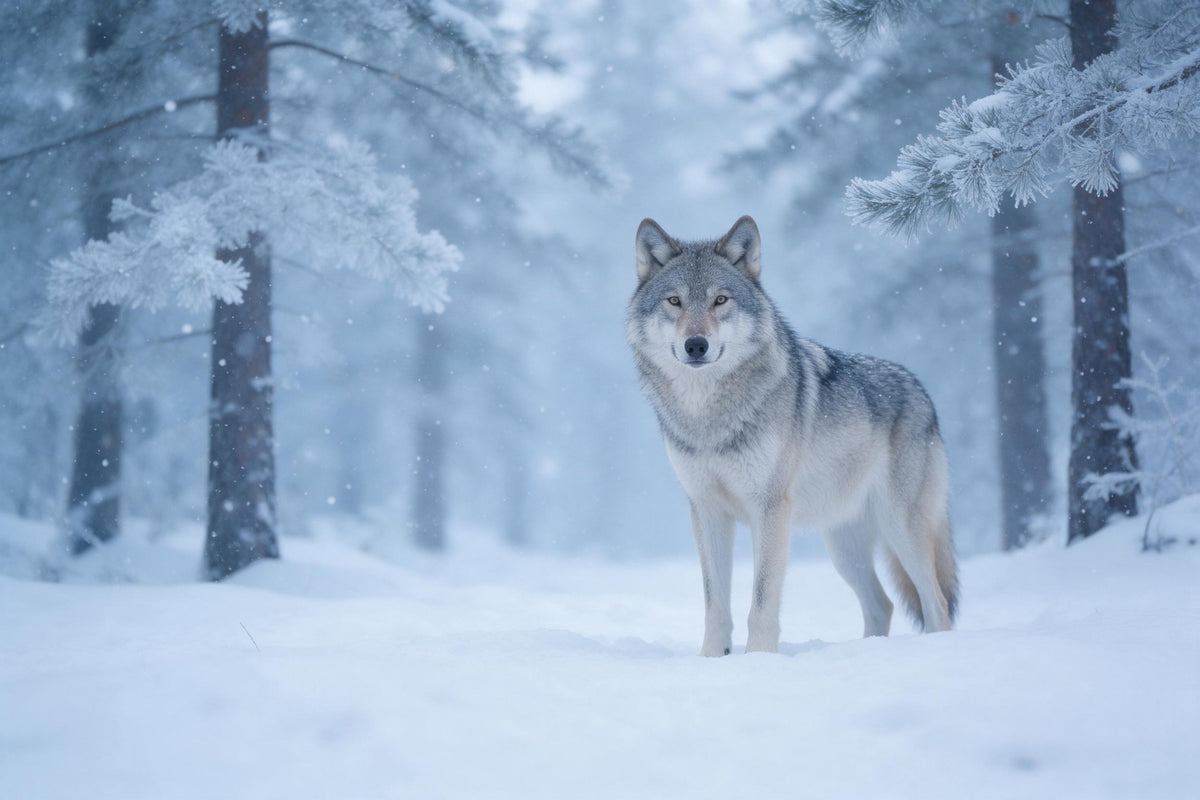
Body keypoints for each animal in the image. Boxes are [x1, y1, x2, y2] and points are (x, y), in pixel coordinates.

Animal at [627, 215, 958, 656]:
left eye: (720, 300)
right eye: (675, 301)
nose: (696, 345)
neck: (710, 416)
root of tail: (921, 390)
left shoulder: (769, 509)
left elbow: (761, 601)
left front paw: (758, 660)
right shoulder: (706, 511)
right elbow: (715, 604)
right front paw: (712, 659)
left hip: (901, 529)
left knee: (935, 602)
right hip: (843, 548)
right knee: (882, 604)